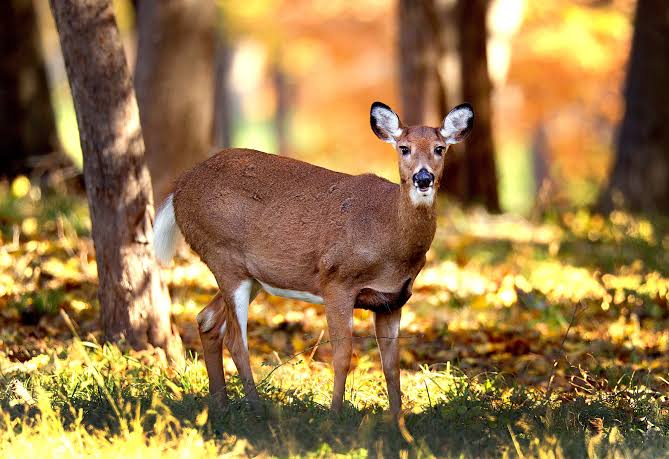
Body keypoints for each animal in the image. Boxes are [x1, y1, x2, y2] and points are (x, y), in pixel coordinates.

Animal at [153, 101, 474, 417]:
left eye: (439, 148)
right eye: (404, 148)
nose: (423, 178)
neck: (388, 236)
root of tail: (178, 190)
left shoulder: (392, 299)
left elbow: (391, 366)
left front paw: (397, 422)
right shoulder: (336, 281)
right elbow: (342, 356)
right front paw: (335, 417)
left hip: (250, 275)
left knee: (207, 319)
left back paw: (220, 406)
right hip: (223, 257)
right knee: (235, 339)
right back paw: (256, 409)